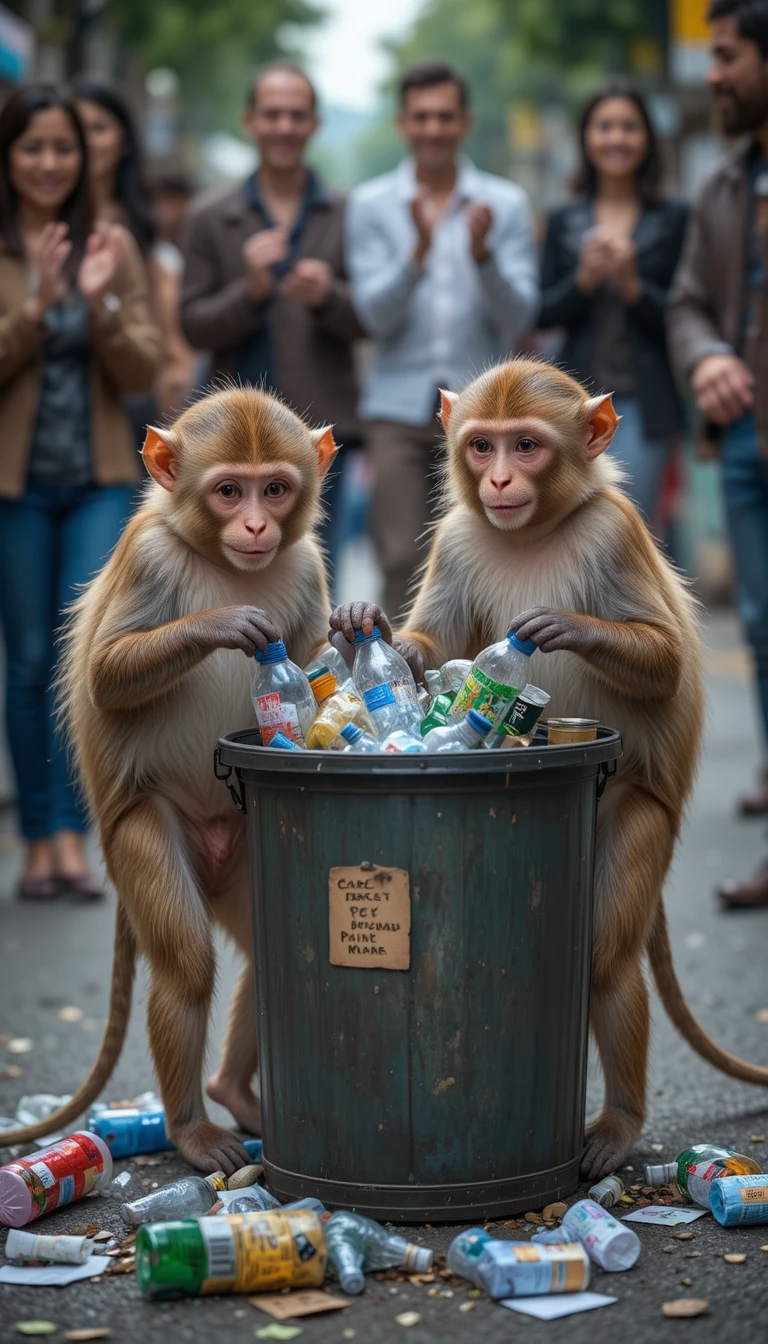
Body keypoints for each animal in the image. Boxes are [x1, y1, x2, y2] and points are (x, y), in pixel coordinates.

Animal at [0, 386, 336, 1173]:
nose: (255, 525)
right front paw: (225, 622)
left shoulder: (305, 563)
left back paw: (234, 1092)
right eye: (229, 491)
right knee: (184, 959)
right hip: (142, 833)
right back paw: (190, 1126)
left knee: (270, 949)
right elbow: (105, 674)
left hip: (247, 841)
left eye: (275, 489)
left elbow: (315, 660)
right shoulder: (150, 558)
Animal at [331, 358, 768, 1181]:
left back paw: (620, 1125)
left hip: (636, 809)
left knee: (606, 954)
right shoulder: (459, 537)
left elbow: (663, 662)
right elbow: (434, 645)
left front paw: (560, 628)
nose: (500, 479)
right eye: (482, 446)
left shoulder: (616, 533)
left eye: (526, 444)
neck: (532, 531)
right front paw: (366, 636)